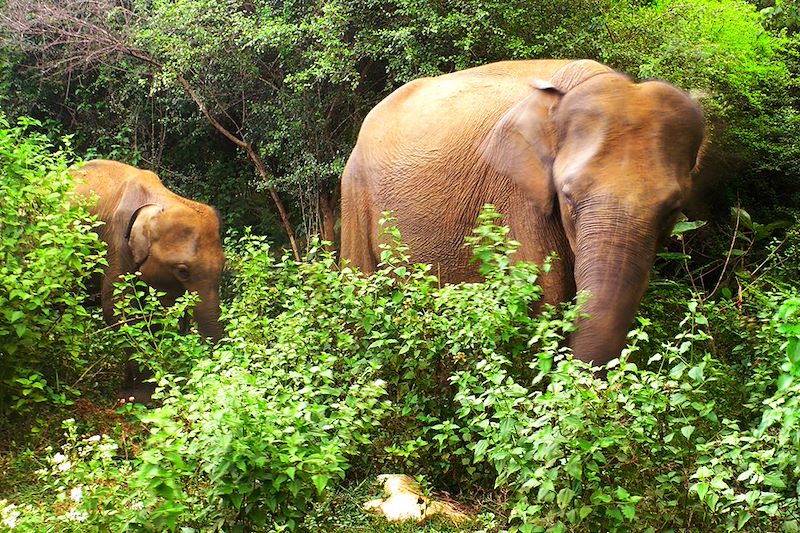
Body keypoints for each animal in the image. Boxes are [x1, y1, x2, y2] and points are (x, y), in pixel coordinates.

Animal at [70, 158, 225, 400]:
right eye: (182, 271)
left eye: (223, 267)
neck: (159, 200)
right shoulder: (117, 245)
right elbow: (119, 311)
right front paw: (145, 397)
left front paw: (130, 389)